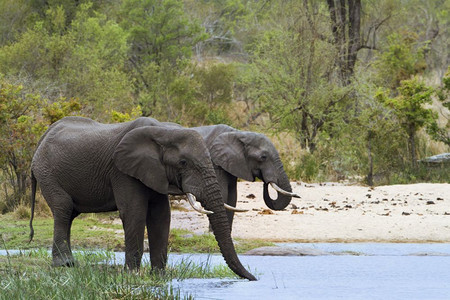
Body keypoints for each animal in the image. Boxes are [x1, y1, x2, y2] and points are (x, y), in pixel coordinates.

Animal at [29, 116, 256, 280]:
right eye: (183, 163)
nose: (254, 279)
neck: (164, 131)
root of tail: (42, 138)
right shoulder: (122, 171)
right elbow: (134, 212)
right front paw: (132, 274)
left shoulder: (154, 171)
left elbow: (161, 216)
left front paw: (159, 275)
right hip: (47, 173)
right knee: (63, 209)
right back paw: (64, 264)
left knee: (69, 215)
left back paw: (70, 264)